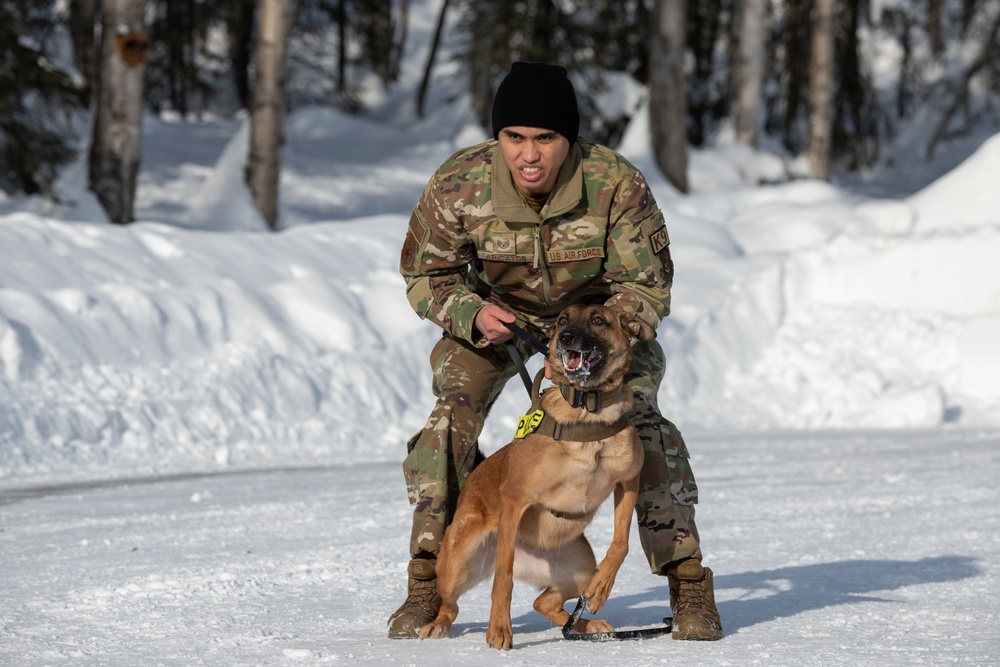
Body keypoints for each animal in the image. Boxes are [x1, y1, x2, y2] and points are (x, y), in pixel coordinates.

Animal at [418, 306, 652, 648]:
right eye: (563, 320)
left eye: (598, 320)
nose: (566, 338)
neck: (587, 410)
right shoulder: (516, 500)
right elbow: (503, 578)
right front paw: (499, 629)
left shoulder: (628, 482)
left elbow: (620, 543)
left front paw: (602, 586)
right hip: (458, 562)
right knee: (452, 602)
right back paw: (437, 624)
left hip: (579, 569)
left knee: (544, 602)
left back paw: (585, 625)